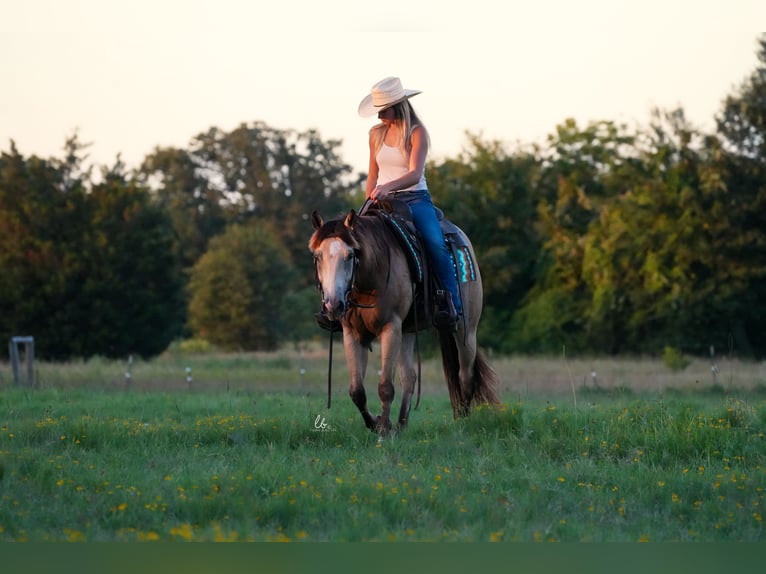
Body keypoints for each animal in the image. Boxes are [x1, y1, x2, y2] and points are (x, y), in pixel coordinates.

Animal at [308, 204, 500, 436]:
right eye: (318, 256)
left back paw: (463, 421)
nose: (333, 305)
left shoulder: (391, 328)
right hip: (408, 332)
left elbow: (385, 387)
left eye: (350, 255)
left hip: (466, 330)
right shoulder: (353, 333)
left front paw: (383, 430)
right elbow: (357, 391)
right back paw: (401, 424)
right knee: (409, 377)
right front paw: (377, 423)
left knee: (465, 375)